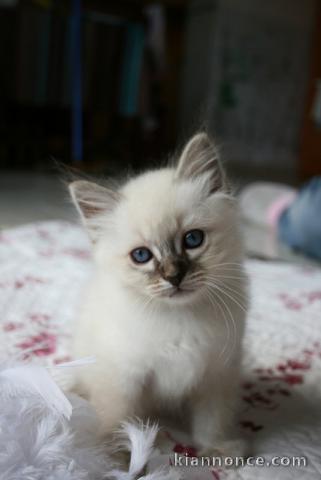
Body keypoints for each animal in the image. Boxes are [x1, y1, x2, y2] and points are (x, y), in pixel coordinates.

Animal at [69, 133, 248, 456]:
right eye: (141, 256)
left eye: (193, 239)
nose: (174, 276)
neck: (180, 317)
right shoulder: (123, 377)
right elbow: (119, 420)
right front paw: (120, 458)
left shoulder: (216, 374)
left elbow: (211, 420)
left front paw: (218, 450)